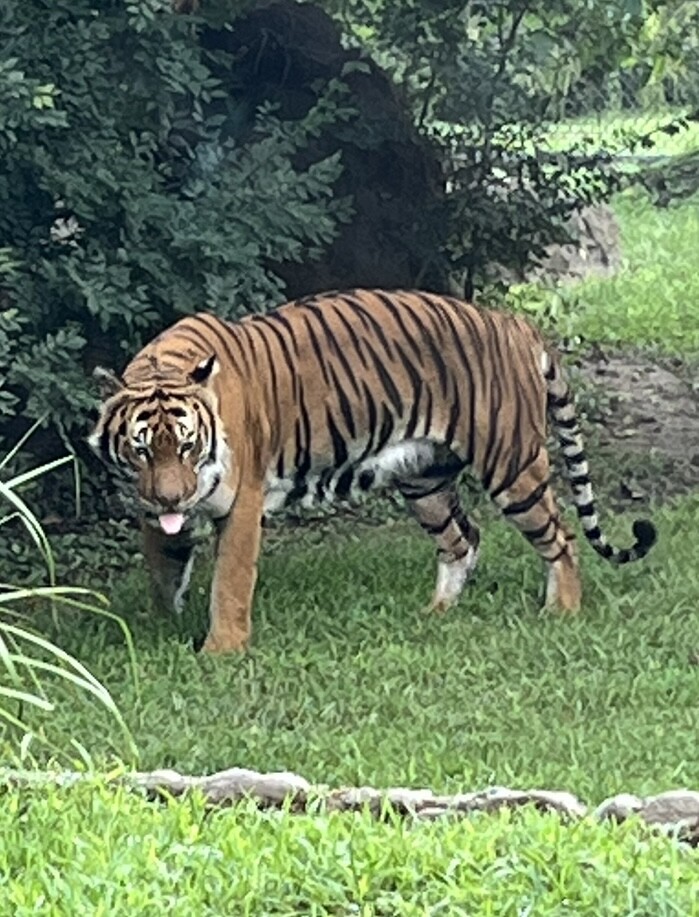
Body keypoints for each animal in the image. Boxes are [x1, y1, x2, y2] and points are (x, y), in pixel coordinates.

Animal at [88, 288, 656, 653]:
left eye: (187, 447)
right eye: (142, 451)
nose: (171, 499)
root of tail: (513, 323)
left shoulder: (243, 504)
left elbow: (229, 580)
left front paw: (220, 652)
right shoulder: (152, 511)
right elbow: (163, 571)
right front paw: (161, 627)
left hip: (511, 463)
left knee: (561, 538)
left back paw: (561, 612)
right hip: (423, 478)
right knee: (462, 539)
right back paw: (436, 612)